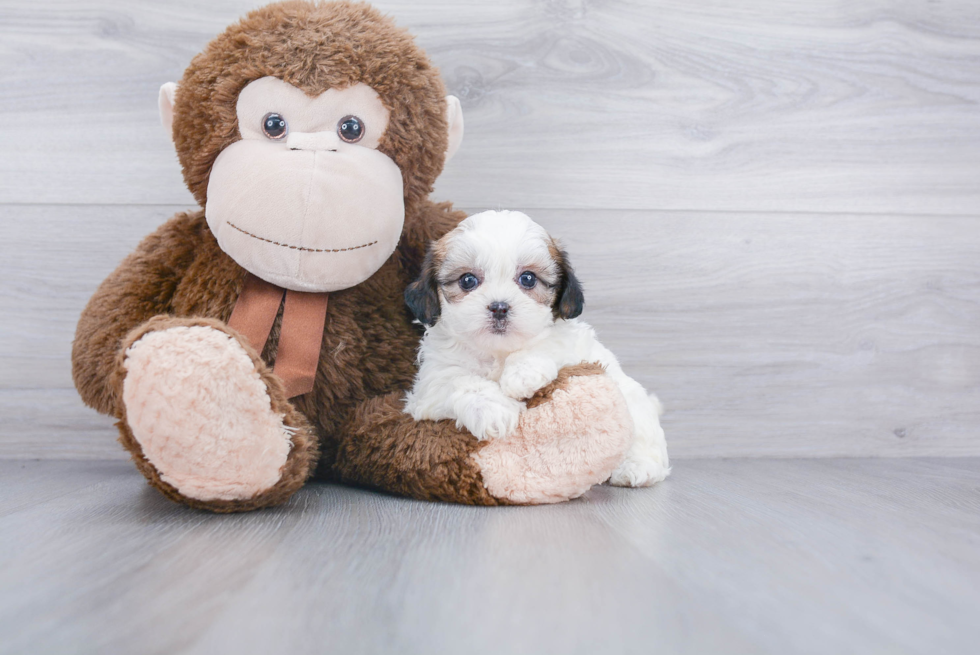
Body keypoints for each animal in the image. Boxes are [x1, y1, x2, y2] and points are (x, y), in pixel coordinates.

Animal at [402, 210, 668, 486]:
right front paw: (493, 410)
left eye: (528, 279)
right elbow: (458, 380)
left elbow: (548, 341)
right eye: (467, 280)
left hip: (635, 407)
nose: (499, 307)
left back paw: (637, 467)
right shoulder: (428, 387)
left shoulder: (574, 344)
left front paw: (522, 374)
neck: (498, 352)